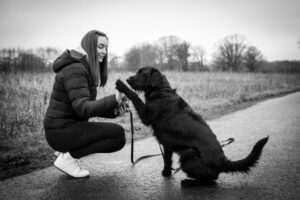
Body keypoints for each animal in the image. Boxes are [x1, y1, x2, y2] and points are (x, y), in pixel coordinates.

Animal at [115, 66, 270, 182]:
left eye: (142, 73)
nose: (128, 79)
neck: (161, 91)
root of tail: (223, 161)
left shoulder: (146, 115)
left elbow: (134, 96)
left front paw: (121, 85)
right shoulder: (167, 144)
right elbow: (167, 159)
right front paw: (166, 173)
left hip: (188, 154)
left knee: (211, 178)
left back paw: (188, 181)